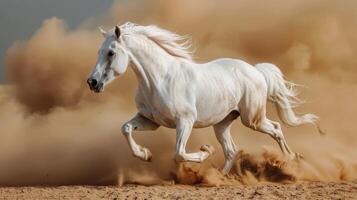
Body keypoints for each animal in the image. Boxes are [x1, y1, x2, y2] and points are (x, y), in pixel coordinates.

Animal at [87, 22, 318, 174]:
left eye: (111, 53)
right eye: (99, 51)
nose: (92, 82)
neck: (159, 79)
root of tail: (256, 70)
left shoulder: (185, 121)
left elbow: (179, 153)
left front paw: (206, 151)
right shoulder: (151, 121)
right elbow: (125, 128)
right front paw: (145, 154)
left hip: (252, 119)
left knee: (276, 129)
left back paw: (291, 160)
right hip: (222, 123)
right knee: (232, 151)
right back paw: (220, 178)